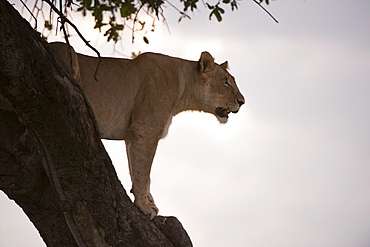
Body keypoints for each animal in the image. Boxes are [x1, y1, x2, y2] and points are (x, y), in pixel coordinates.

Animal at [49, 41, 246, 219]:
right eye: (226, 82)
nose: (242, 102)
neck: (183, 89)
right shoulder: (145, 130)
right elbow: (143, 171)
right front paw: (145, 206)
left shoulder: (131, 135)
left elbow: (136, 169)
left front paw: (147, 199)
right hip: (68, 51)